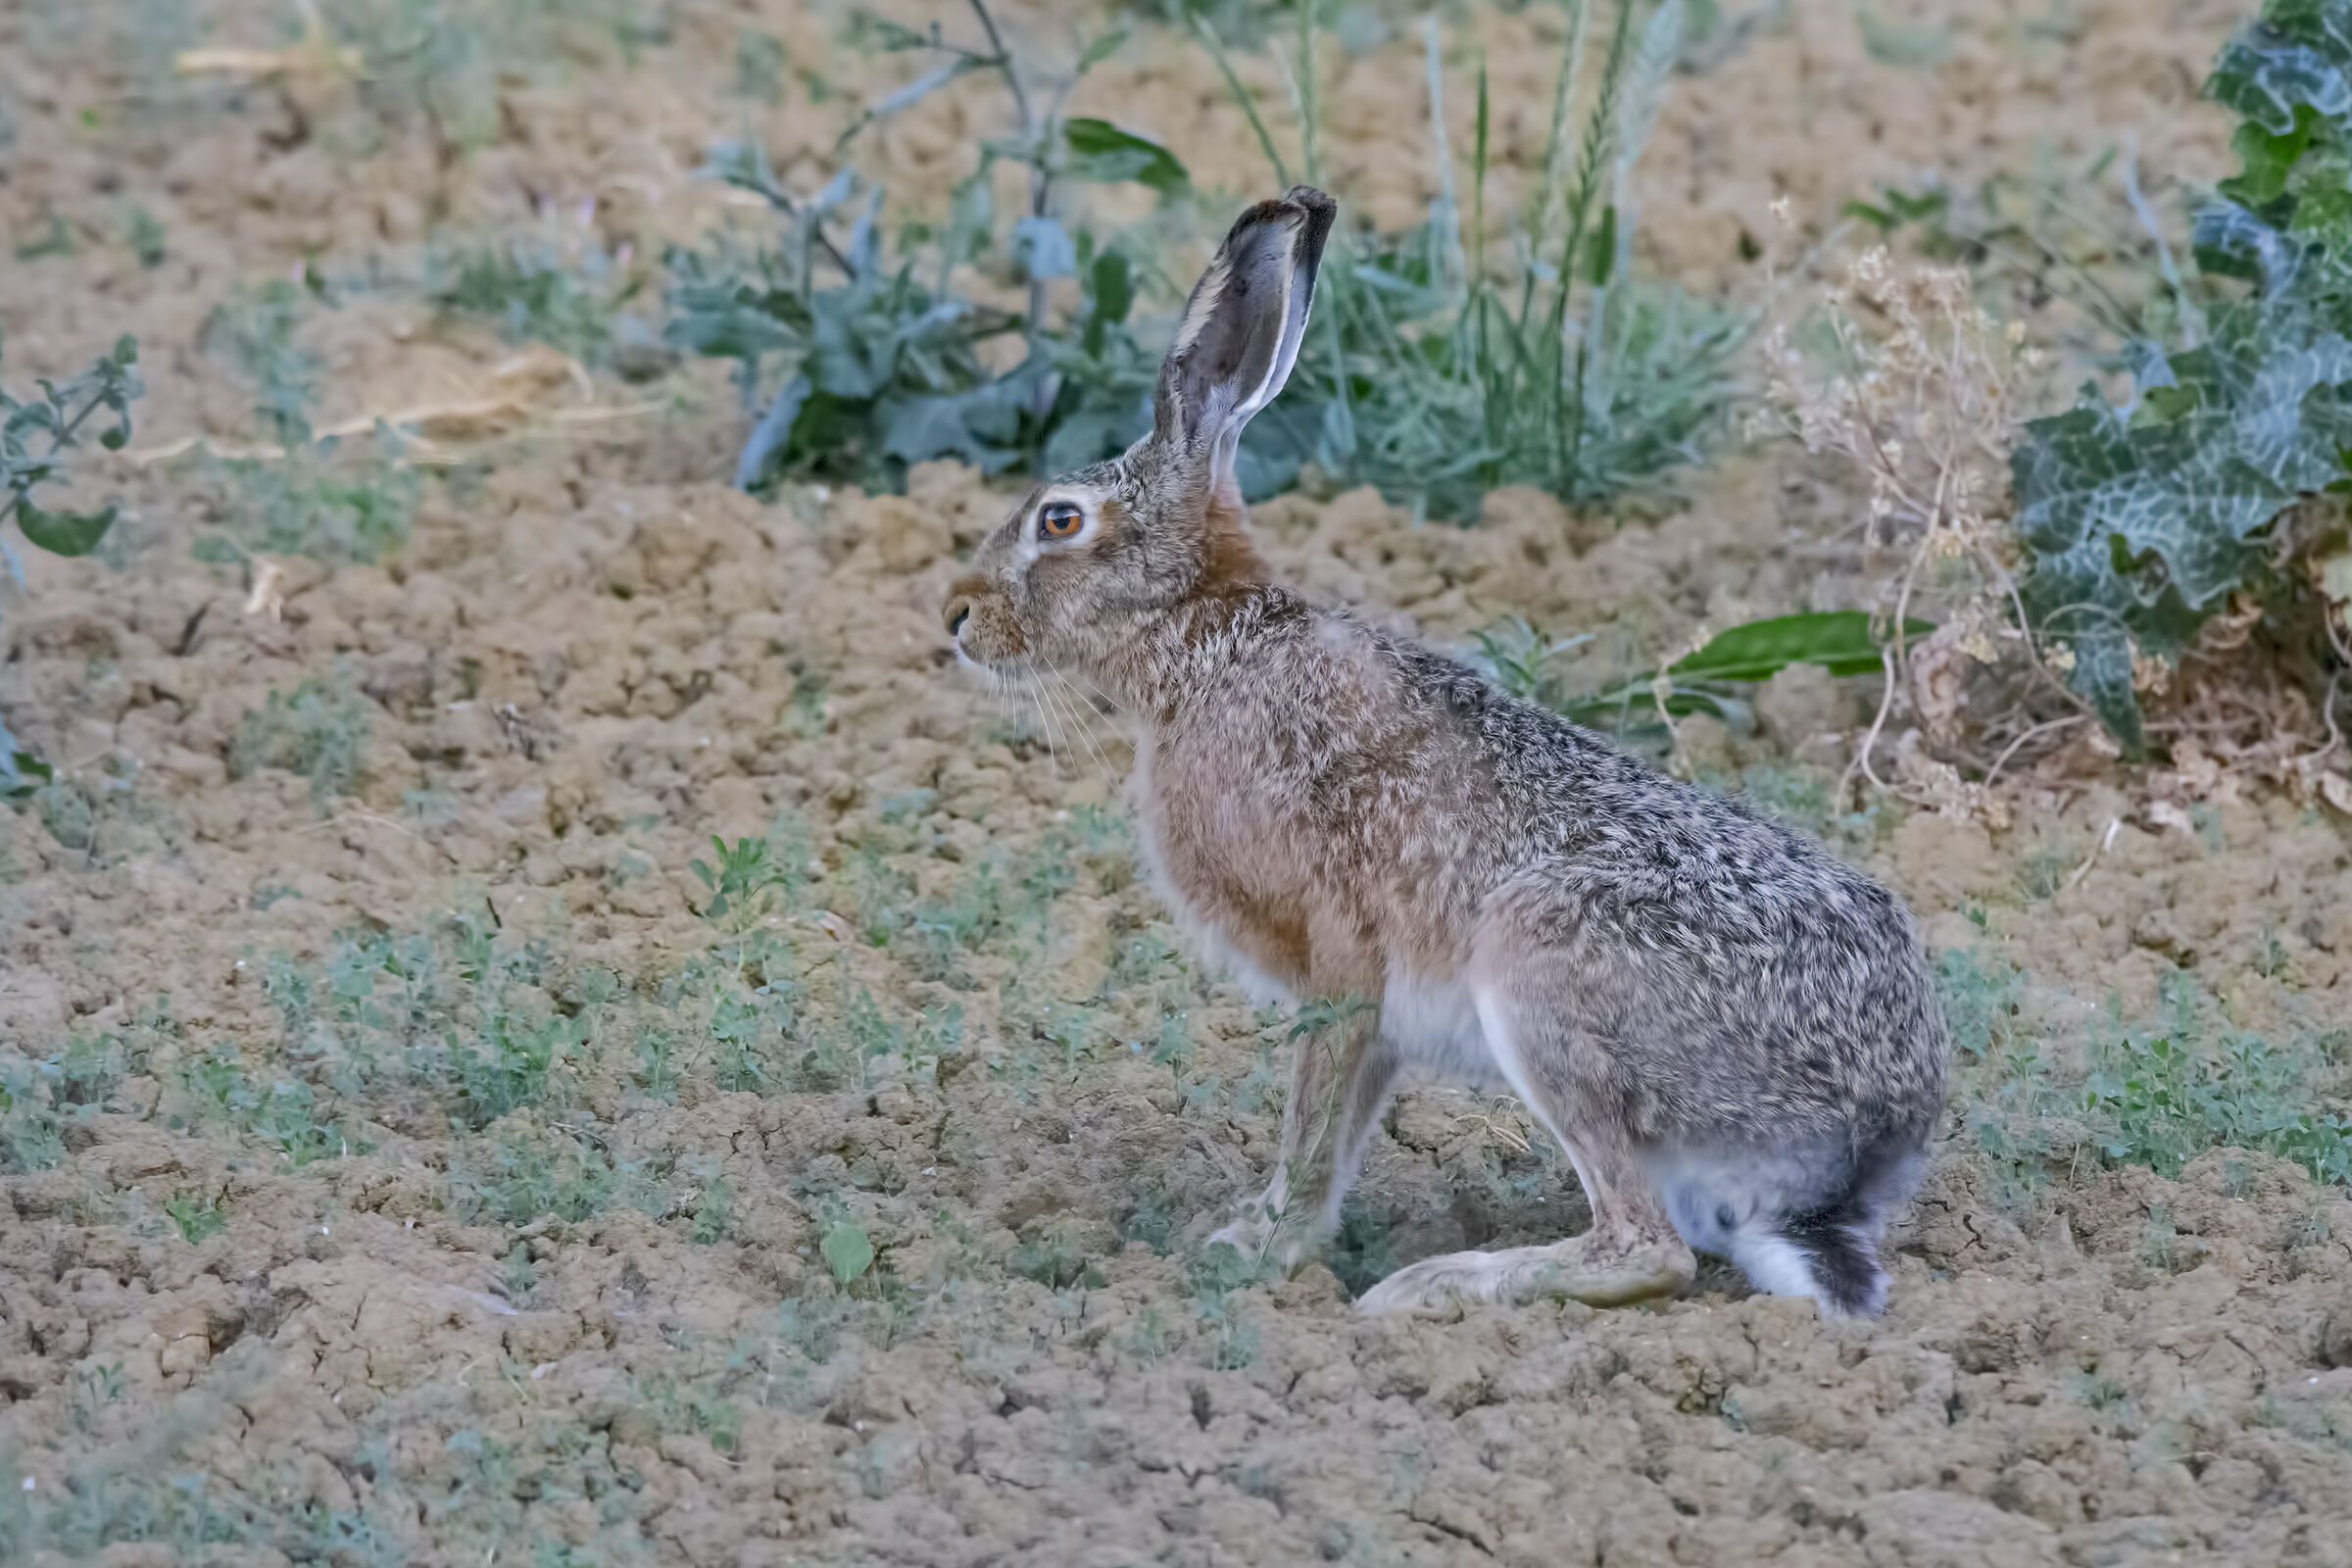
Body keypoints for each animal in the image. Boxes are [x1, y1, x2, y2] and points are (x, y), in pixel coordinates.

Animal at [942, 186, 1949, 1320]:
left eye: (1060, 521)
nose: (957, 617)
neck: (1203, 640)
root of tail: (1869, 1140)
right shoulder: (1379, 1024)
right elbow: (1336, 1138)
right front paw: (1271, 1237)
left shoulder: (1338, 962)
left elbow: (1310, 1116)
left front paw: (1252, 1256)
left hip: (1540, 972)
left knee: (1642, 1248)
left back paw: (1429, 1289)